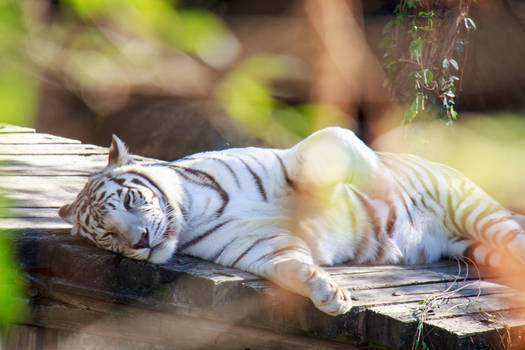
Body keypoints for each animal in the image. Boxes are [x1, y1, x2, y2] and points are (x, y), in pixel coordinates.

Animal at [57, 127, 524, 316]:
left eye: (131, 199)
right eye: (107, 236)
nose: (140, 241)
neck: (194, 211)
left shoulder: (307, 156)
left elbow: (353, 156)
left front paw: (391, 199)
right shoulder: (260, 247)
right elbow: (293, 268)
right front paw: (330, 295)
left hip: (476, 210)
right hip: (475, 247)